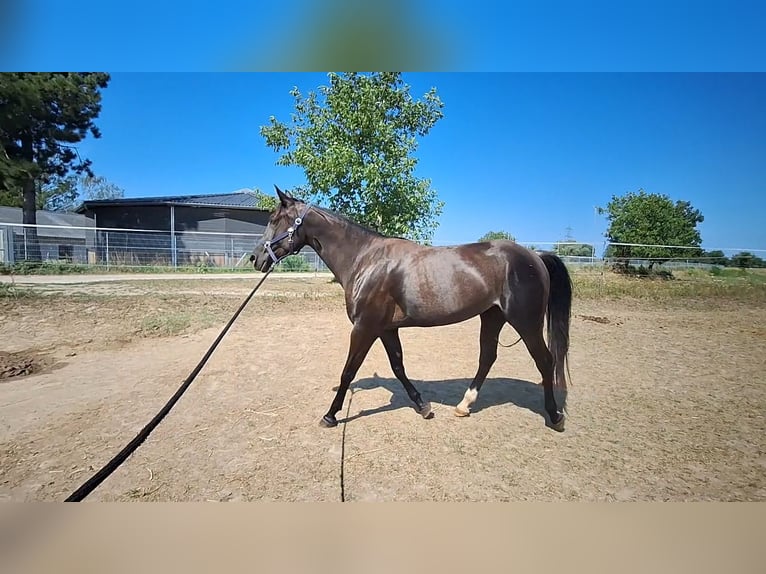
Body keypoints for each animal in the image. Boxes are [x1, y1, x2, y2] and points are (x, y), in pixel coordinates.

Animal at [250, 187, 572, 432]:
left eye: (275, 218)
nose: (256, 258)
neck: (365, 259)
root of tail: (535, 256)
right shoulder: (386, 329)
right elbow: (398, 366)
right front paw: (423, 406)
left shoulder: (364, 327)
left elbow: (348, 370)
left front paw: (330, 415)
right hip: (492, 317)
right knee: (487, 358)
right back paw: (464, 406)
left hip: (526, 322)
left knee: (545, 361)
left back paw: (555, 416)